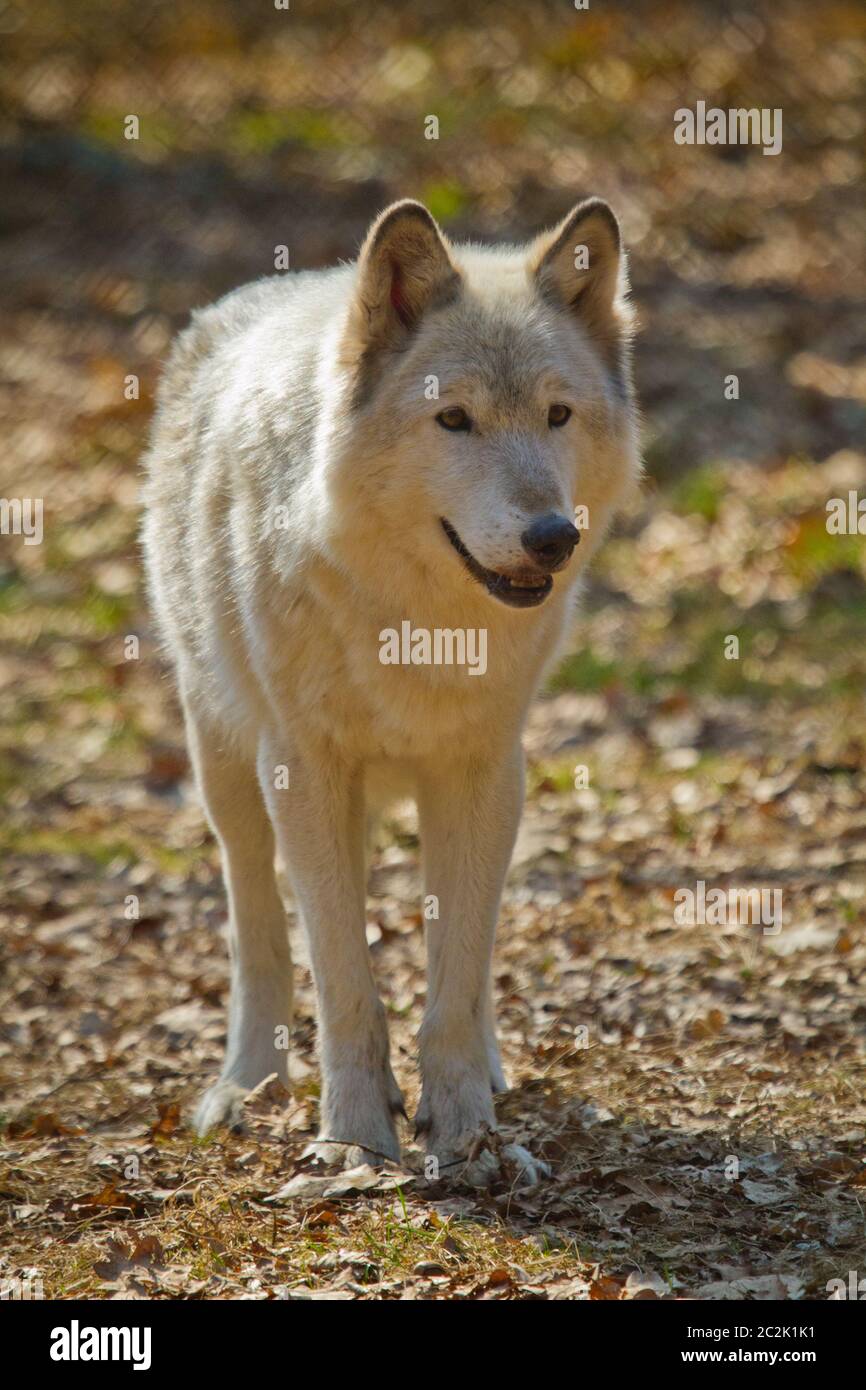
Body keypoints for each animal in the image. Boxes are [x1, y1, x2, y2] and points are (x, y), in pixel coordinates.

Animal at [142, 193, 639, 1173]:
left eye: (558, 415)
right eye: (454, 421)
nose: (553, 537)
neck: (424, 628)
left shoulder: (481, 770)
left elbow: (456, 973)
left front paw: (467, 1133)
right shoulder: (306, 772)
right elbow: (342, 982)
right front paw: (354, 1137)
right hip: (228, 768)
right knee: (258, 926)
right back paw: (246, 1084)